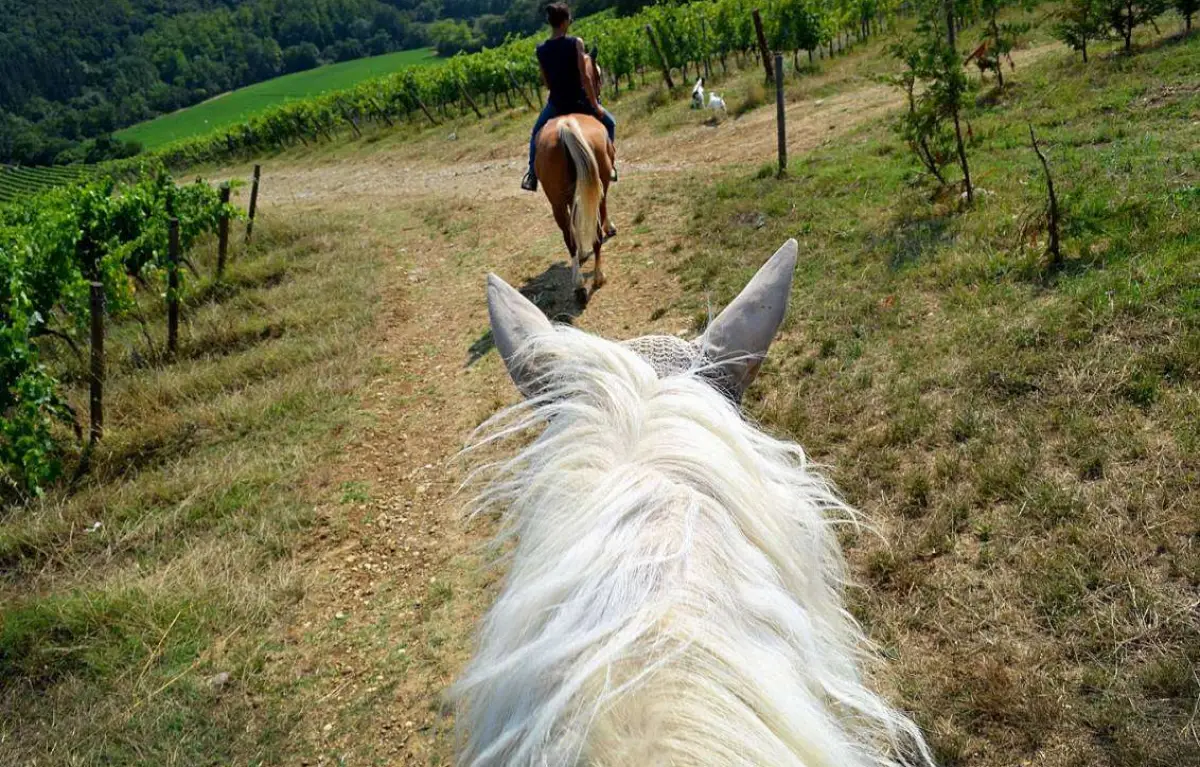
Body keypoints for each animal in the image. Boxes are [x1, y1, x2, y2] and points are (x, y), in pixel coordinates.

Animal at [532, 52, 615, 307]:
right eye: (597, 73)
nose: (599, 96)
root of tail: (566, 126)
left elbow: (577, 224)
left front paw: (582, 250)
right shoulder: (601, 187)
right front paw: (610, 228)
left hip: (557, 201)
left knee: (568, 237)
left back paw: (578, 286)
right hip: (597, 186)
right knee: (596, 232)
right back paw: (597, 277)